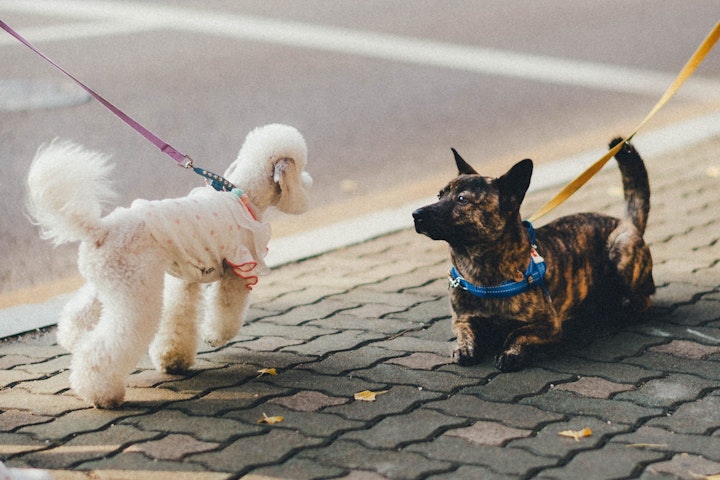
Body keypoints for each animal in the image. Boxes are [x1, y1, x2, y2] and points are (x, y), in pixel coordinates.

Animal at [410, 139, 652, 372]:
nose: (415, 214)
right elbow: (465, 332)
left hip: (621, 250)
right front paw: (464, 348)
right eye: (439, 195)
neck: (480, 268)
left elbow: (517, 332)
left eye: (462, 199)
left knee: (644, 301)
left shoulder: (549, 324)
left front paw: (510, 353)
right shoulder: (462, 319)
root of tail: (626, 222)